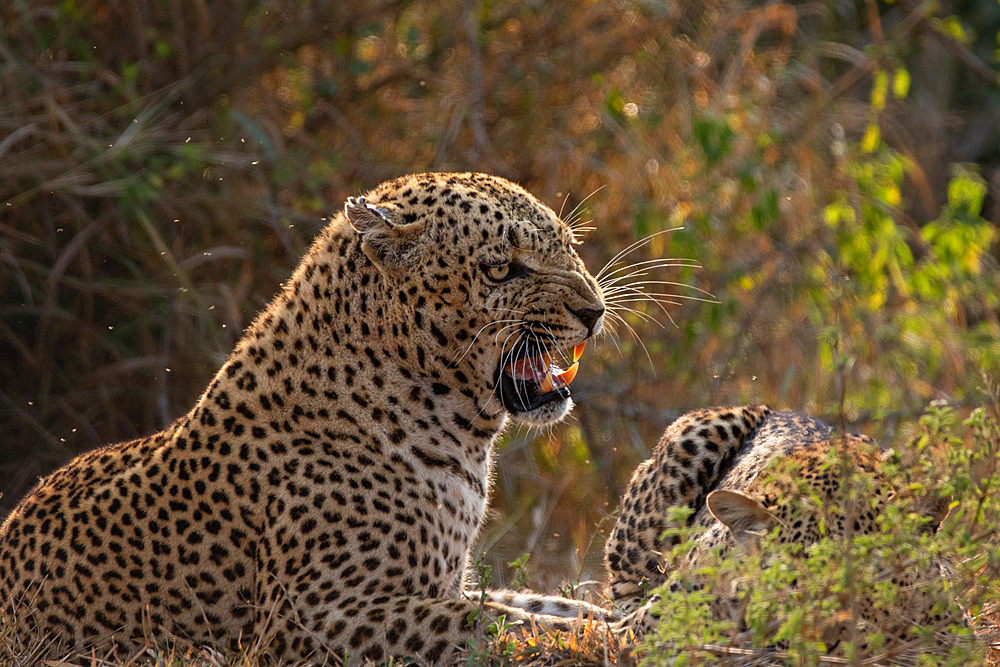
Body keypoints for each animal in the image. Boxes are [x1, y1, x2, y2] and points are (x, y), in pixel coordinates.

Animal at [0, 174, 608, 667]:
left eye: (568, 246)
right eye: (502, 269)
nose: (595, 310)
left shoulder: (445, 586)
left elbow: (548, 602)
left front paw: (614, 615)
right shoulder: (313, 617)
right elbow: (499, 625)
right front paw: (607, 639)